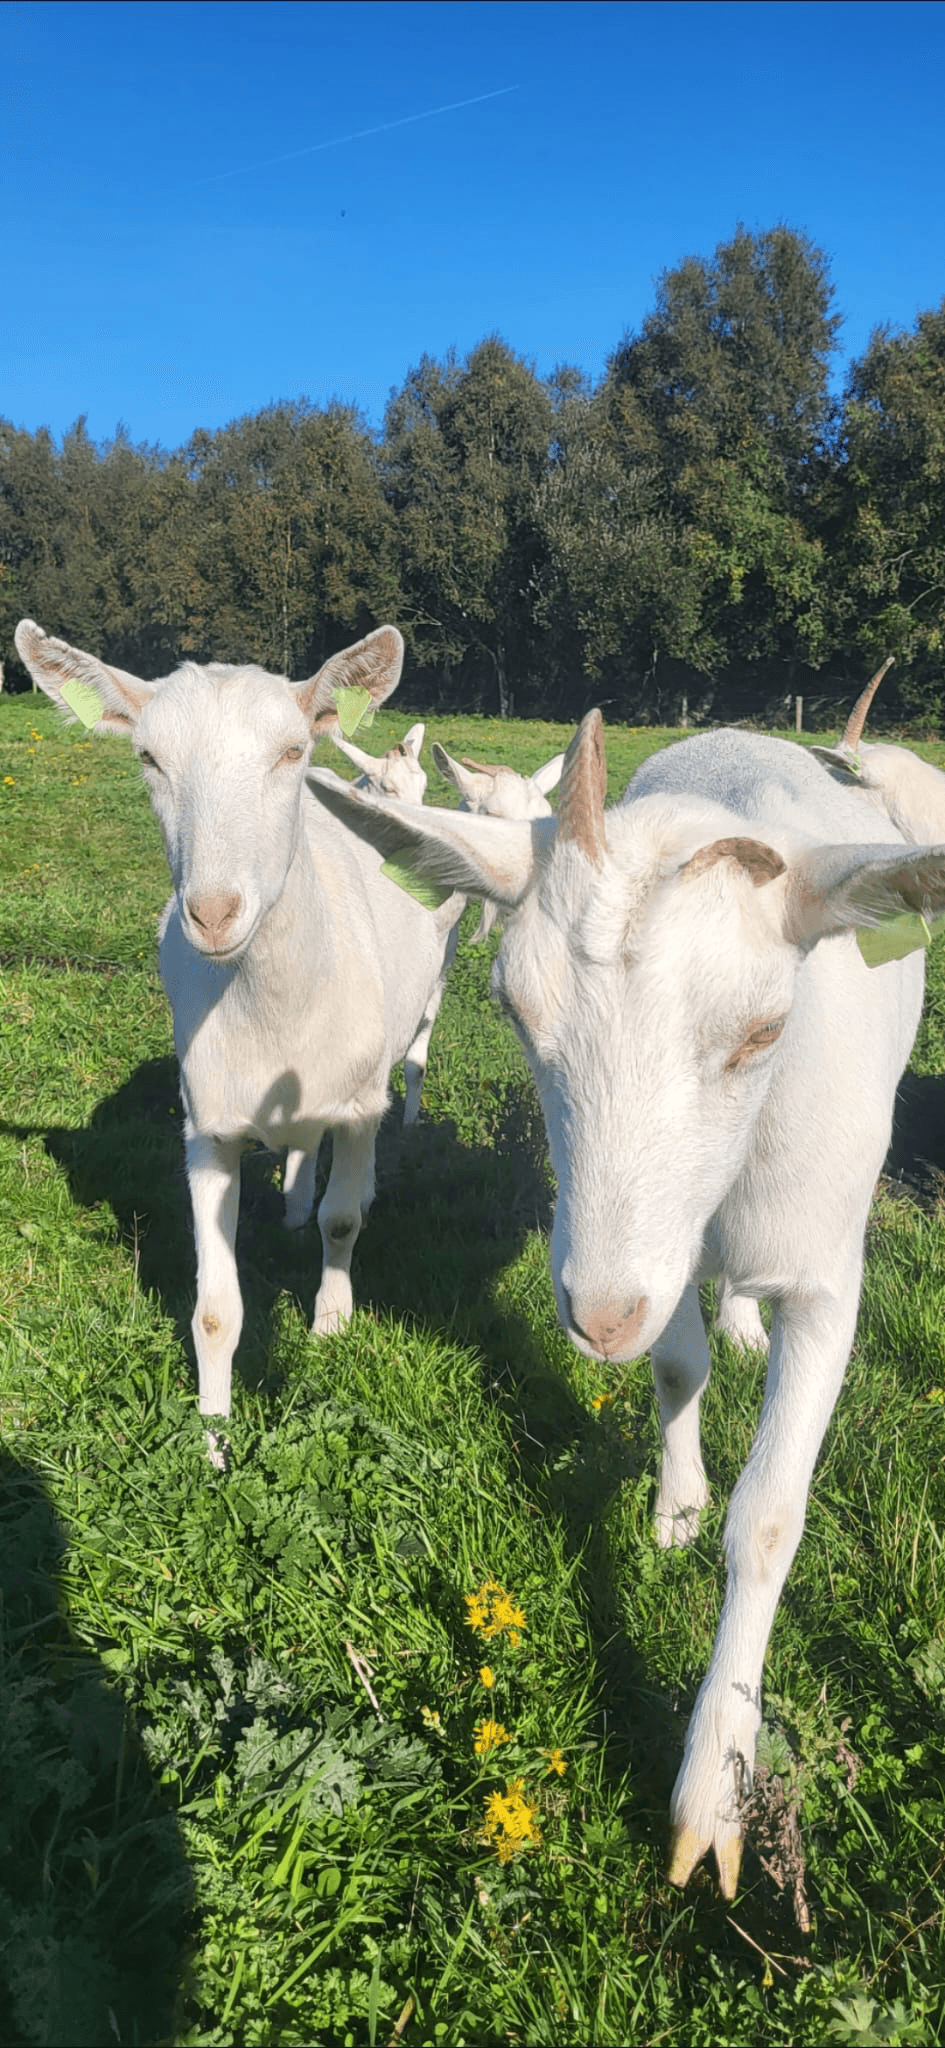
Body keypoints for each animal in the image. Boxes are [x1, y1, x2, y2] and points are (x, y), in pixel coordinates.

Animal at [15, 618, 461, 1446]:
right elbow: (216, 1309)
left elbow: (343, 1221)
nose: (215, 913)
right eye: (148, 758)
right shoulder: (208, 1126)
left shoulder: (356, 1100)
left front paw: (330, 1325)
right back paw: (290, 1203)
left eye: (291, 751)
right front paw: (212, 1438)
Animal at [307, 711, 945, 1897]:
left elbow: (772, 1513)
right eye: (513, 1008)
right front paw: (676, 1507)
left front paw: (713, 1791)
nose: (596, 1317)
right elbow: (676, 1365)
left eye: (762, 1030)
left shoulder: (828, 1269)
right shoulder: (663, 1250)